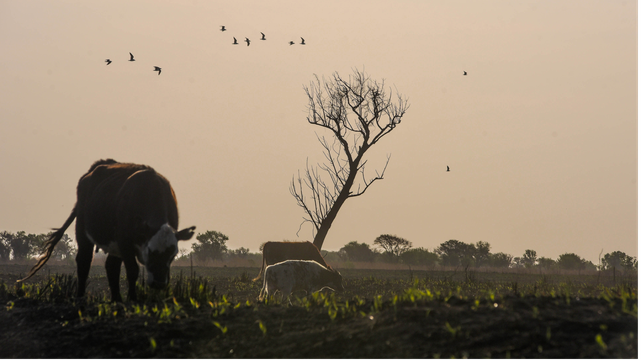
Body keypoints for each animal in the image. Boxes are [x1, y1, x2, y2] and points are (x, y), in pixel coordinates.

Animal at [19, 159, 195, 302]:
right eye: (151, 251)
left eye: (173, 254)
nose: (159, 283)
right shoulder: (125, 241)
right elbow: (133, 270)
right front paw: (132, 298)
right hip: (82, 230)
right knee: (84, 261)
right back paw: (80, 296)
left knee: (111, 266)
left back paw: (116, 299)